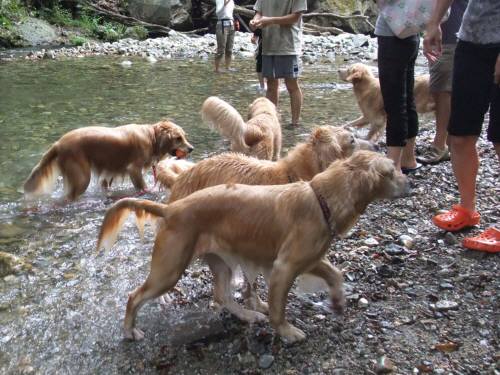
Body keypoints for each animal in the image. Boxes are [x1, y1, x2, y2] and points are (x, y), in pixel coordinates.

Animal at [97, 151, 410, 346]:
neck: (322, 199)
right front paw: (287, 331)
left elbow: (335, 273)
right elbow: (278, 310)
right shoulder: (285, 266)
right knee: (134, 296)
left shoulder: (308, 258)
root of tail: (171, 208)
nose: (409, 180)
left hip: (220, 262)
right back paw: (129, 330)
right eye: (390, 171)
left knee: (222, 295)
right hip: (169, 268)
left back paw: (247, 315)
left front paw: (338, 301)